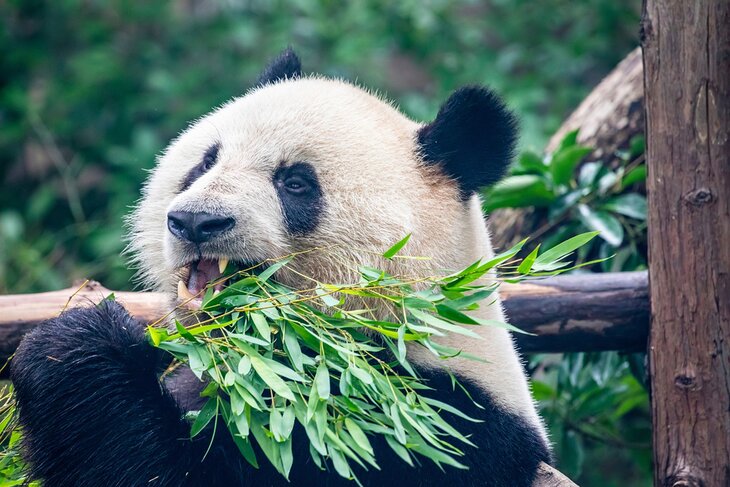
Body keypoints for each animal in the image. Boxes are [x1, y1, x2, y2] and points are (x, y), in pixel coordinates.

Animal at [11, 49, 548, 487]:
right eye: (206, 161)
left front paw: (79, 343)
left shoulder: (409, 427)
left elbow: (173, 467)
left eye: (295, 182)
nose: (196, 221)